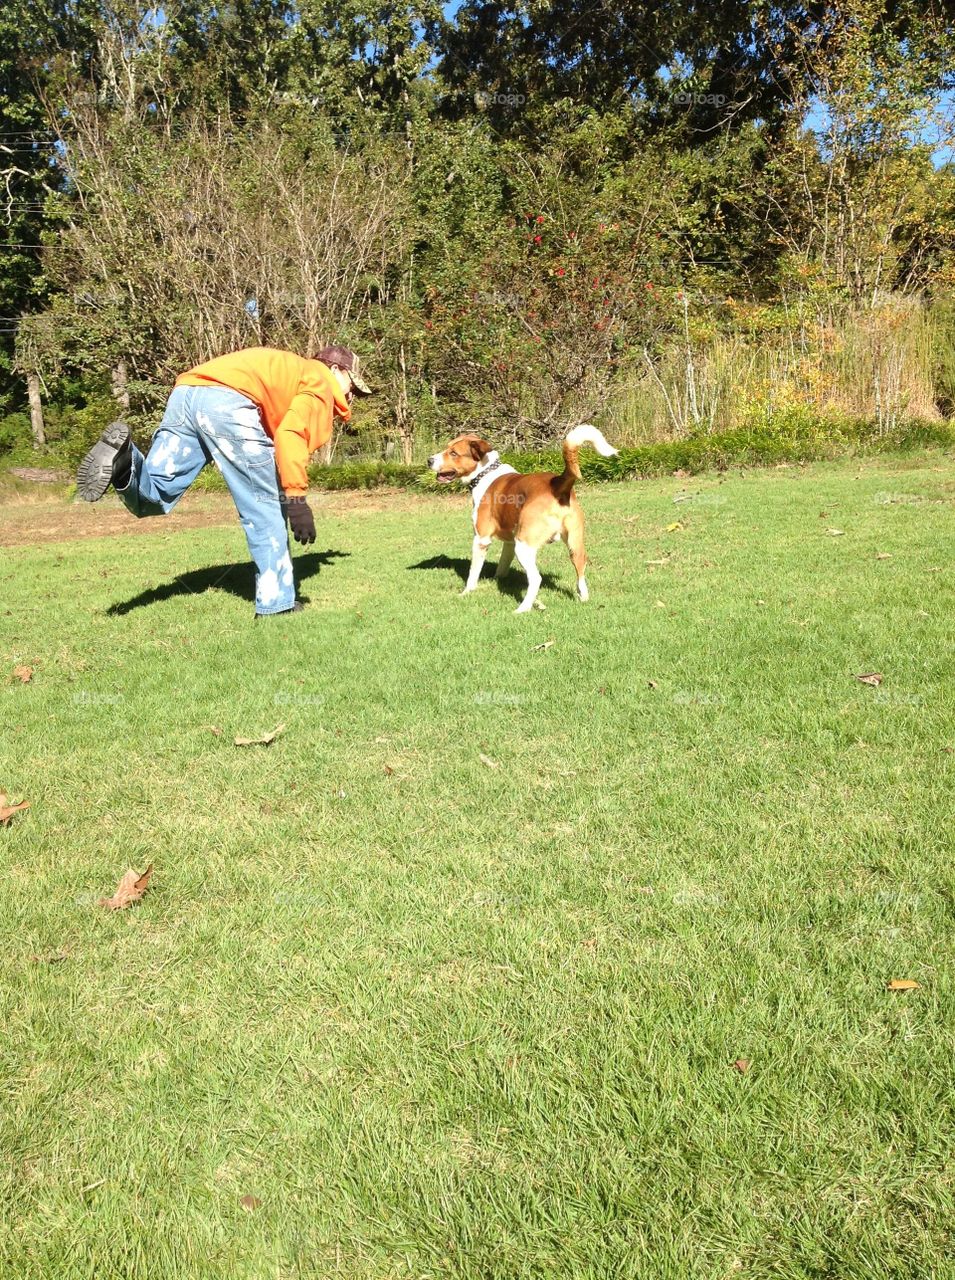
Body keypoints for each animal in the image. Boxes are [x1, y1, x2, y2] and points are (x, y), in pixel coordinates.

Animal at [425, 424, 617, 614]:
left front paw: (466, 592)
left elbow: (473, 572)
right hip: (574, 543)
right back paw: (583, 597)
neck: (485, 473)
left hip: (524, 545)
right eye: (447, 448)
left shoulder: (481, 539)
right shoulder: (509, 541)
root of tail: (559, 484)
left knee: (536, 578)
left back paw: (523, 608)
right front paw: (497, 580)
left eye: (453, 453)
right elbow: (502, 564)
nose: (429, 460)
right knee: (581, 567)